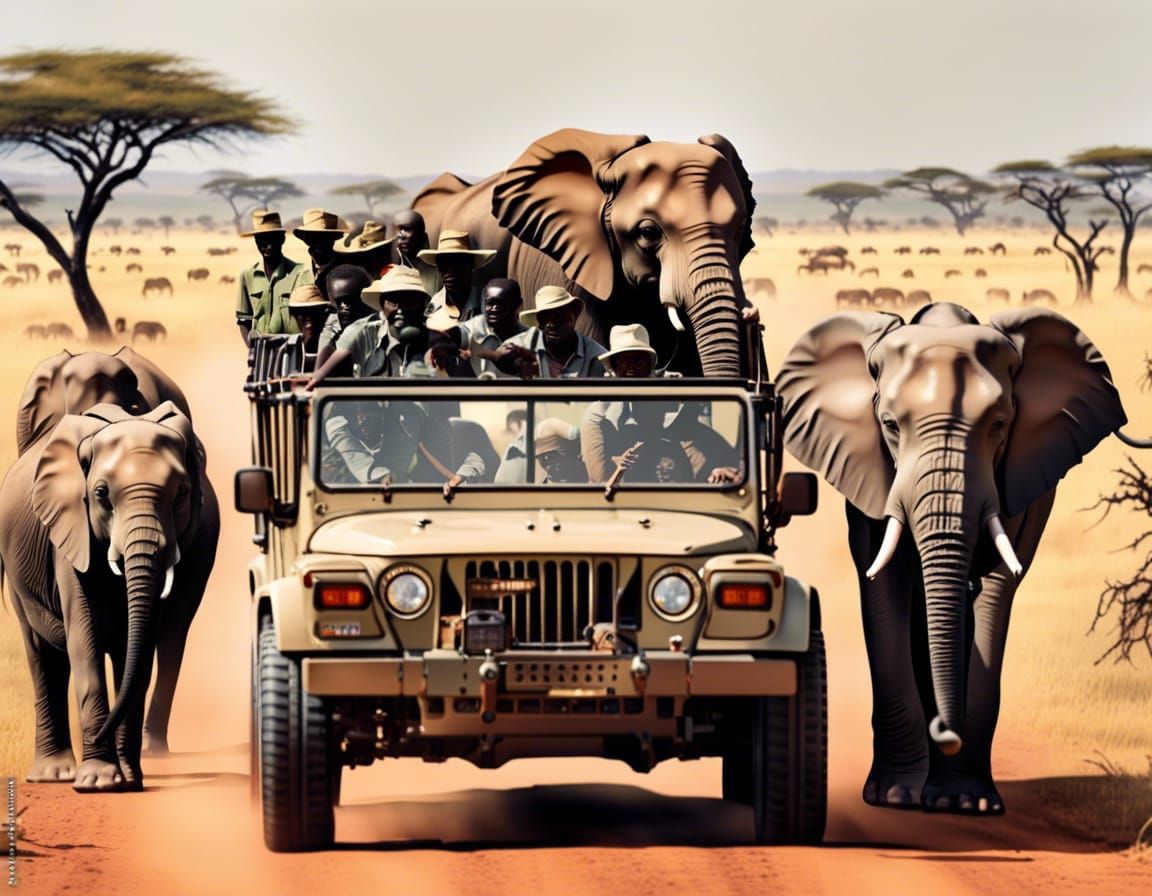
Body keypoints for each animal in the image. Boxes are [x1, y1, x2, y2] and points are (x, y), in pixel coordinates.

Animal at [0, 400, 219, 791]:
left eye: (181, 493)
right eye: (101, 494)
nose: (102, 732)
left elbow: (137, 653)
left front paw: (128, 782)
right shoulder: (70, 534)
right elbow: (84, 642)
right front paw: (98, 781)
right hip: (15, 574)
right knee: (42, 654)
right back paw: (53, 775)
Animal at [776, 303, 1127, 815]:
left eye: (999, 426)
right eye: (890, 425)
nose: (946, 731)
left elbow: (996, 594)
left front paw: (965, 802)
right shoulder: (870, 476)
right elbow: (884, 591)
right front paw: (895, 796)